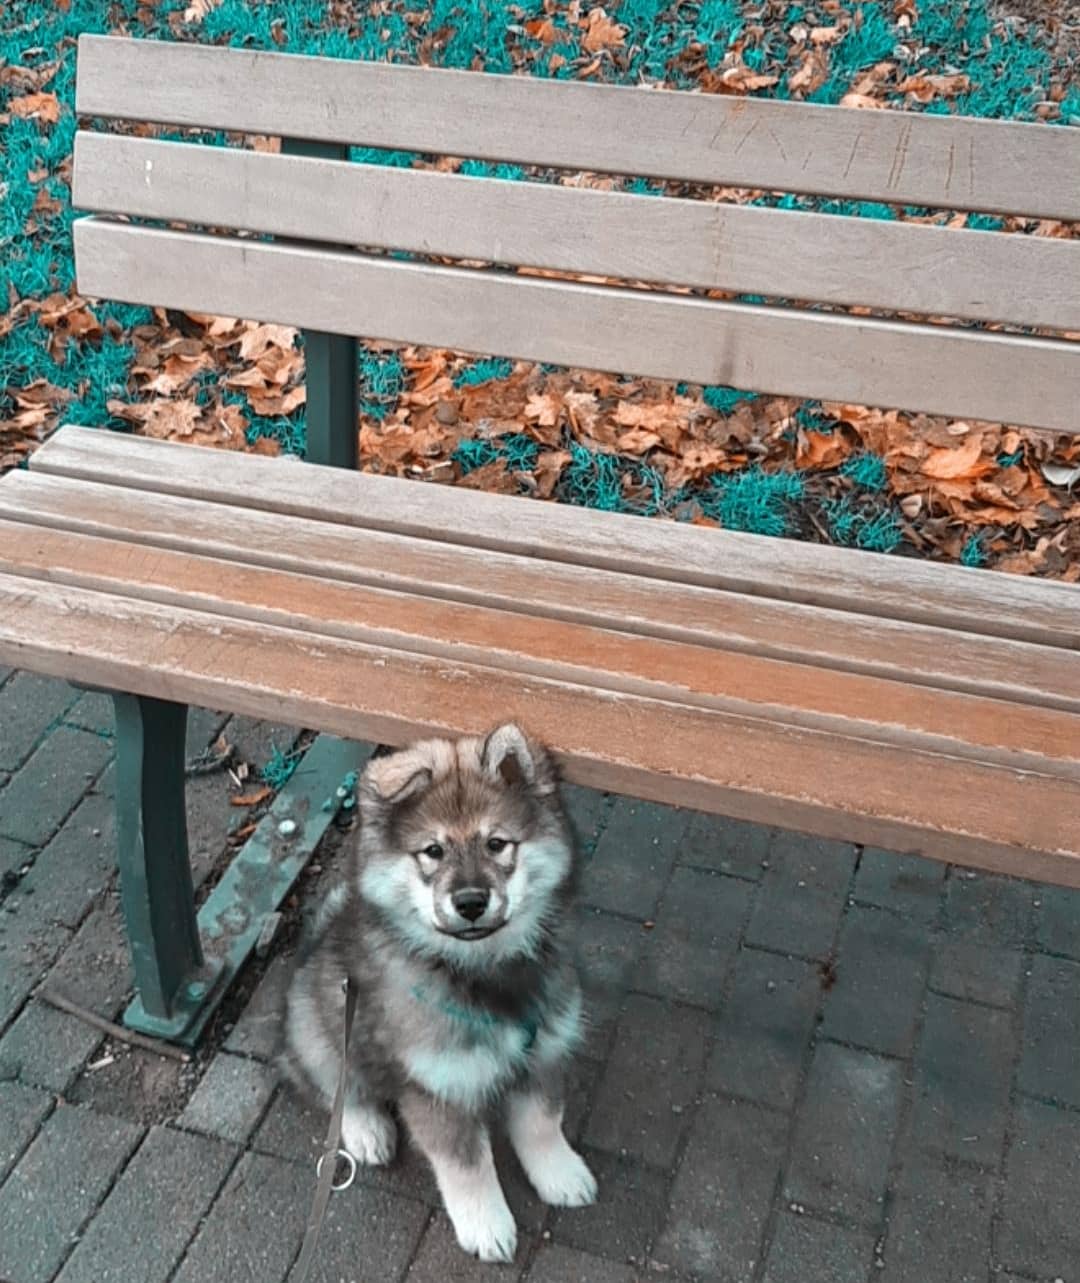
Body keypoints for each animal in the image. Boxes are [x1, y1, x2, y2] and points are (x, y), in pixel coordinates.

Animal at [280, 723, 596, 1262]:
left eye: (496, 843)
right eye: (433, 851)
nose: (470, 901)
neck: (482, 969)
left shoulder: (546, 1051)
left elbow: (541, 1123)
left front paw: (561, 1174)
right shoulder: (438, 1085)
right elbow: (467, 1165)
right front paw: (487, 1225)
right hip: (319, 1020)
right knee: (335, 1085)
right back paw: (366, 1130)